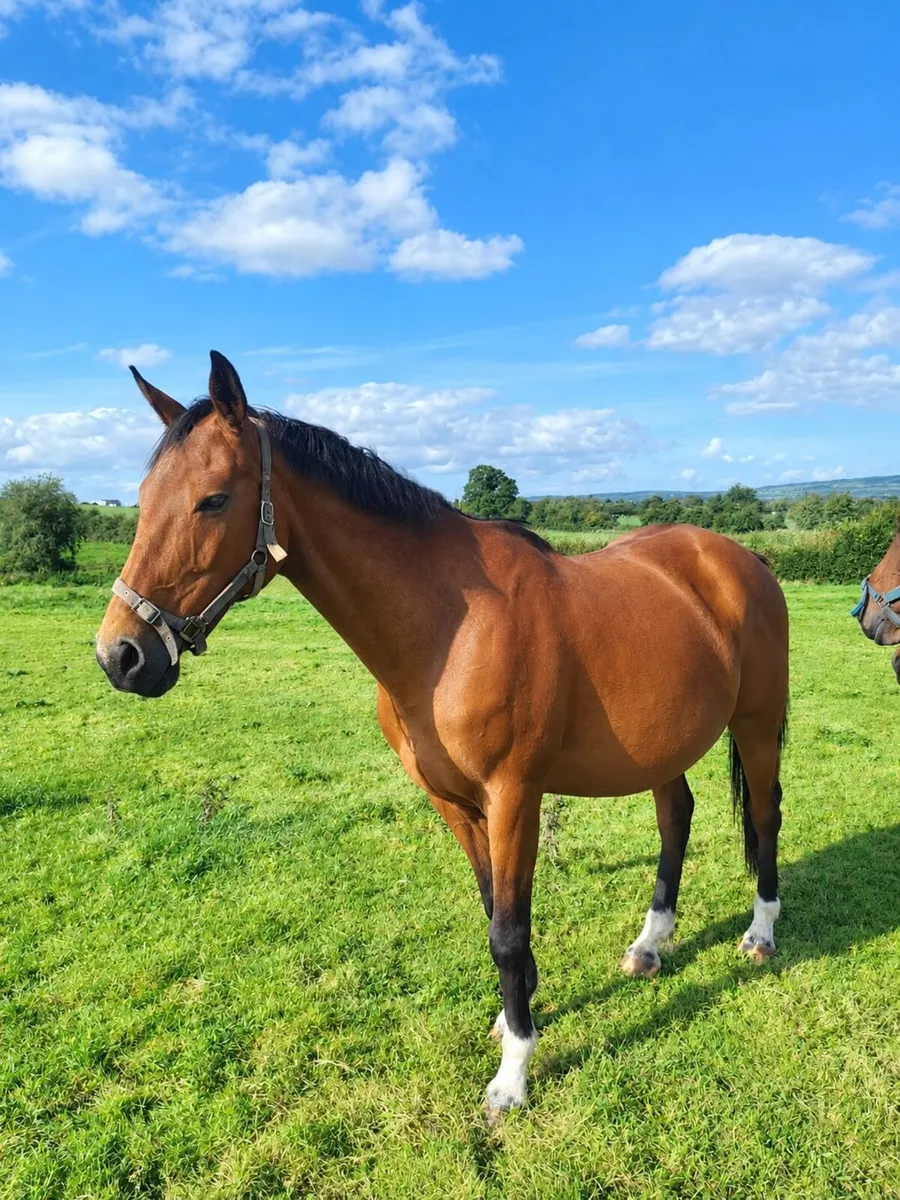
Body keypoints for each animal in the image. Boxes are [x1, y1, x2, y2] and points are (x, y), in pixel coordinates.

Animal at [95, 352, 790, 1116]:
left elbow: (509, 932)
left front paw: (513, 1073)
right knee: (677, 817)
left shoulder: (514, 797)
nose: (121, 656)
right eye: (142, 497)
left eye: (213, 500)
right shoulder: (454, 803)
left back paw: (760, 933)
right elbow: (493, 911)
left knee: (765, 814)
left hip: (756, 725)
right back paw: (649, 946)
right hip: (664, 745)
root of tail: (741, 560)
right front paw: (515, 1017)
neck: (449, 630)